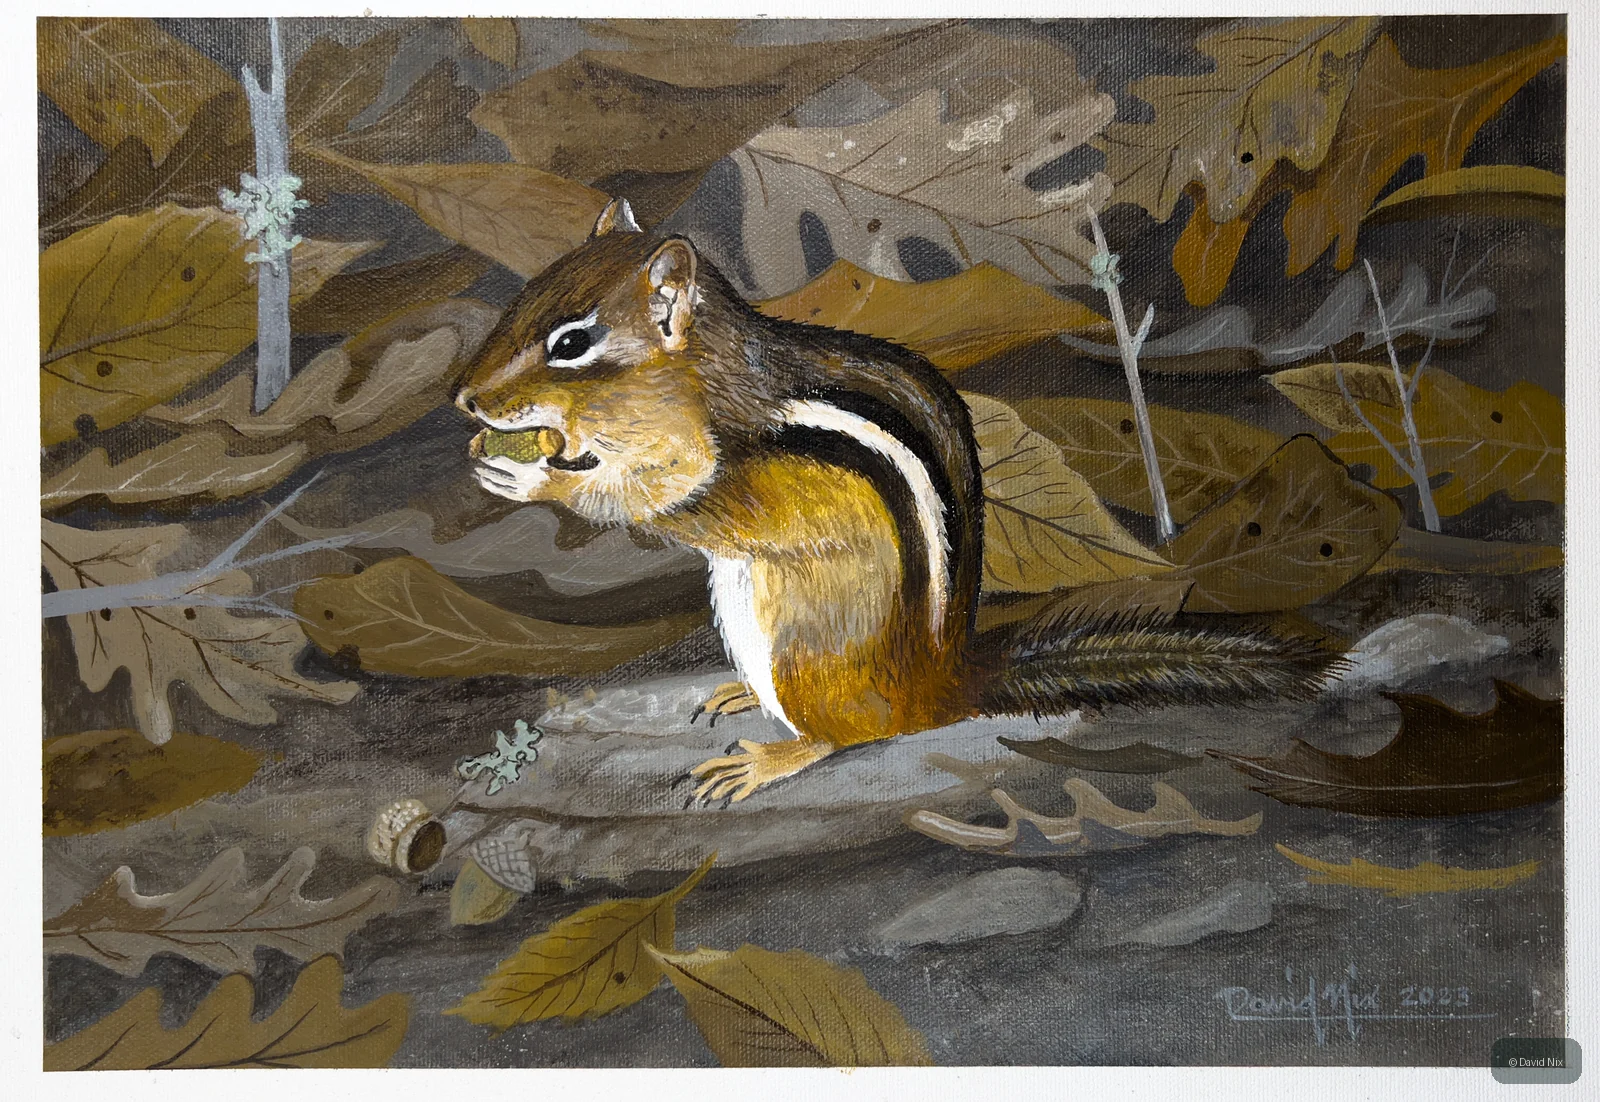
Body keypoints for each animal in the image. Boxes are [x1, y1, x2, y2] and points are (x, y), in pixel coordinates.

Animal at [456, 198, 1344, 803]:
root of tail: (939, 688)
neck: (695, 376)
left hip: (802, 644)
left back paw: (774, 756)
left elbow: (663, 503)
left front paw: (533, 477)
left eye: (573, 343)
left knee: (848, 735)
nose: (464, 399)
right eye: (523, 297)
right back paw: (741, 693)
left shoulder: (711, 468)